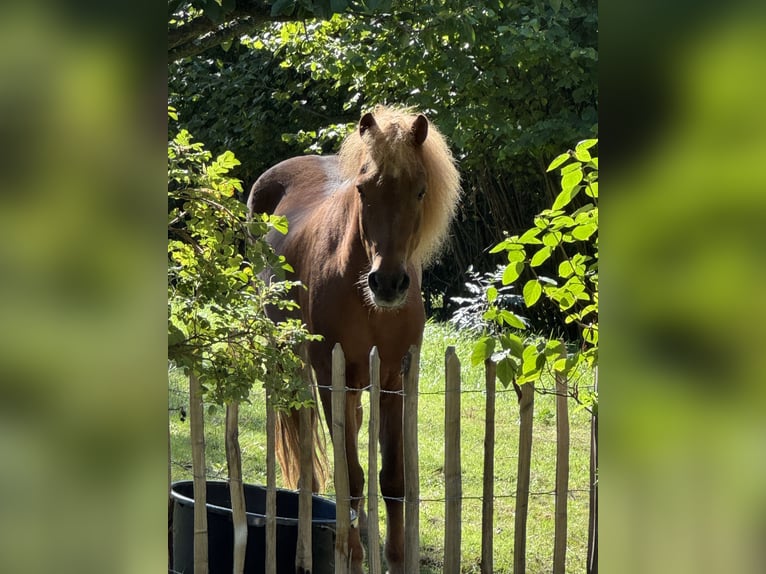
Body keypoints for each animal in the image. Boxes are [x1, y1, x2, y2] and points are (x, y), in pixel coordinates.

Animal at [247, 105, 460, 574]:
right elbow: (352, 476)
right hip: (292, 363)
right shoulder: (334, 380)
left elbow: (393, 479)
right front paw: (355, 556)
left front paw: (395, 557)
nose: (389, 283)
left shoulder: (393, 383)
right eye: (363, 190)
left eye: (420, 191)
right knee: (306, 445)